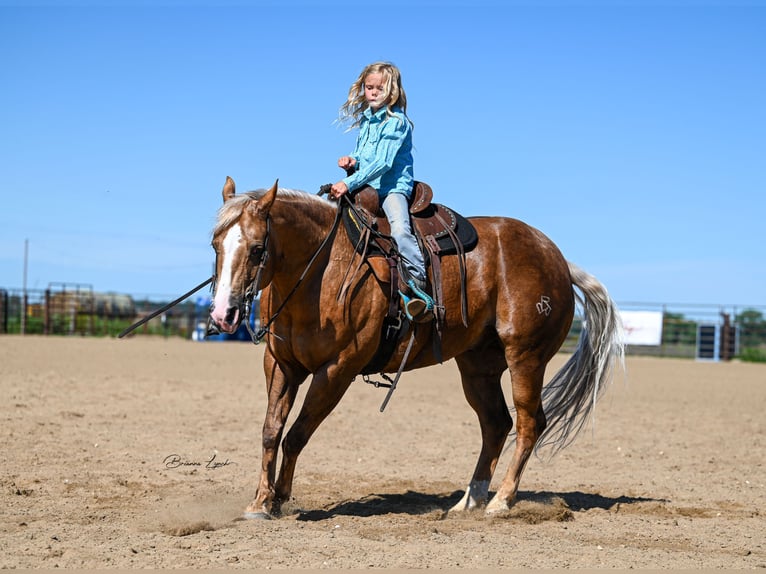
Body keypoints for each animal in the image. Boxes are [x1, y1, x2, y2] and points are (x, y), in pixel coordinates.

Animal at [210, 178, 624, 520]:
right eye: (215, 244)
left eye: (258, 249)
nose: (222, 313)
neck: (322, 272)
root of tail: (557, 259)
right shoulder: (281, 363)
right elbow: (271, 431)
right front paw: (260, 502)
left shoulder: (337, 370)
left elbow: (297, 433)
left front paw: (279, 498)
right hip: (478, 366)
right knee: (496, 424)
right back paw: (468, 502)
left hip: (526, 357)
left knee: (528, 423)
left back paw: (501, 501)